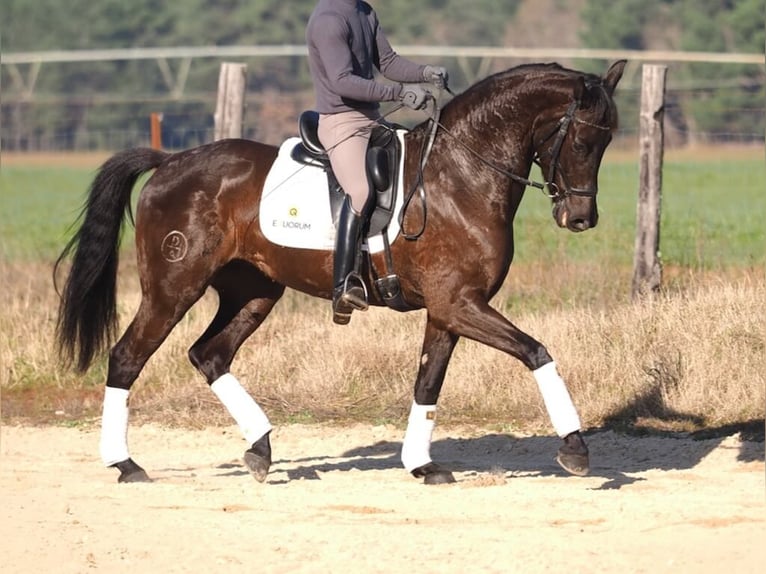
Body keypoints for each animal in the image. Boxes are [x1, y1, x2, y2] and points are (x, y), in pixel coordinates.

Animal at [54, 60, 626, 485]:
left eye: (607, 142)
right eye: (581, 141)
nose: (580, 218)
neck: (460, 176)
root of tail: (170, 161)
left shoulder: (449, 310)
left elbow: (427, 383)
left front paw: (421, 465)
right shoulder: (460, 304)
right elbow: (537, 352)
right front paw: (575, 448)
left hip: (253, 292)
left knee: (209, 354)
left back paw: (260, 449)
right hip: (173, 288)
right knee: (127, 358)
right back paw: (126, 464)